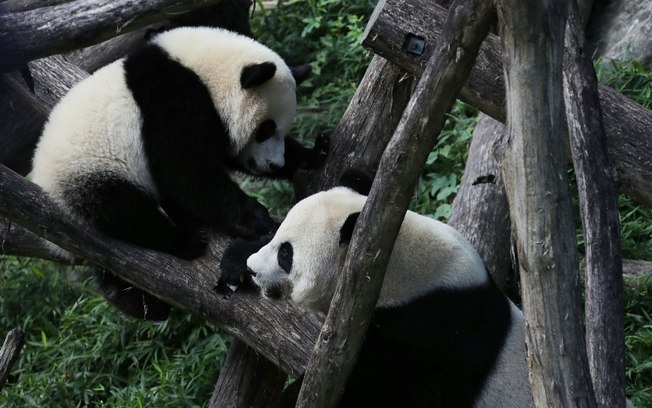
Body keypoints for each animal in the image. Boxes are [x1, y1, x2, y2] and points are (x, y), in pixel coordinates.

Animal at [29, 26, 326, 322]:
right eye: (266, 128)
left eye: (282, 130)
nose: (274, 164)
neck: (203, 71)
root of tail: (44, 185)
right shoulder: (170, 103)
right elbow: (186, 173)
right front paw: (256, 218)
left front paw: (311, 155)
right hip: (91, 173)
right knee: (124, 210)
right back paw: (184, 241)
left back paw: (137, 302)